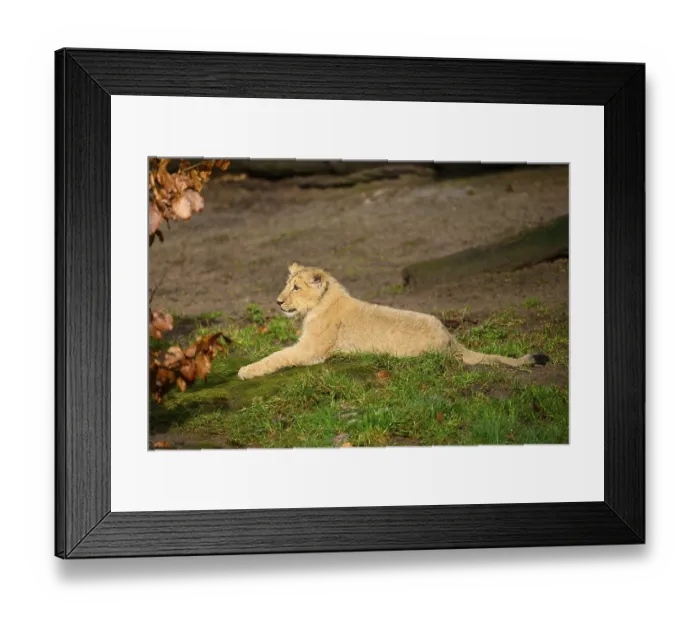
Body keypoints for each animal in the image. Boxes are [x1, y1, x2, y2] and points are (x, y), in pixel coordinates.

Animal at [237, 263, 549, 380]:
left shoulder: (312, 350)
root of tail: (452, 338)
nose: (278, 302)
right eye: (286, 285)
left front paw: (245, 370)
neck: (321, 303)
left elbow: (277, 356)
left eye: (296, 288)